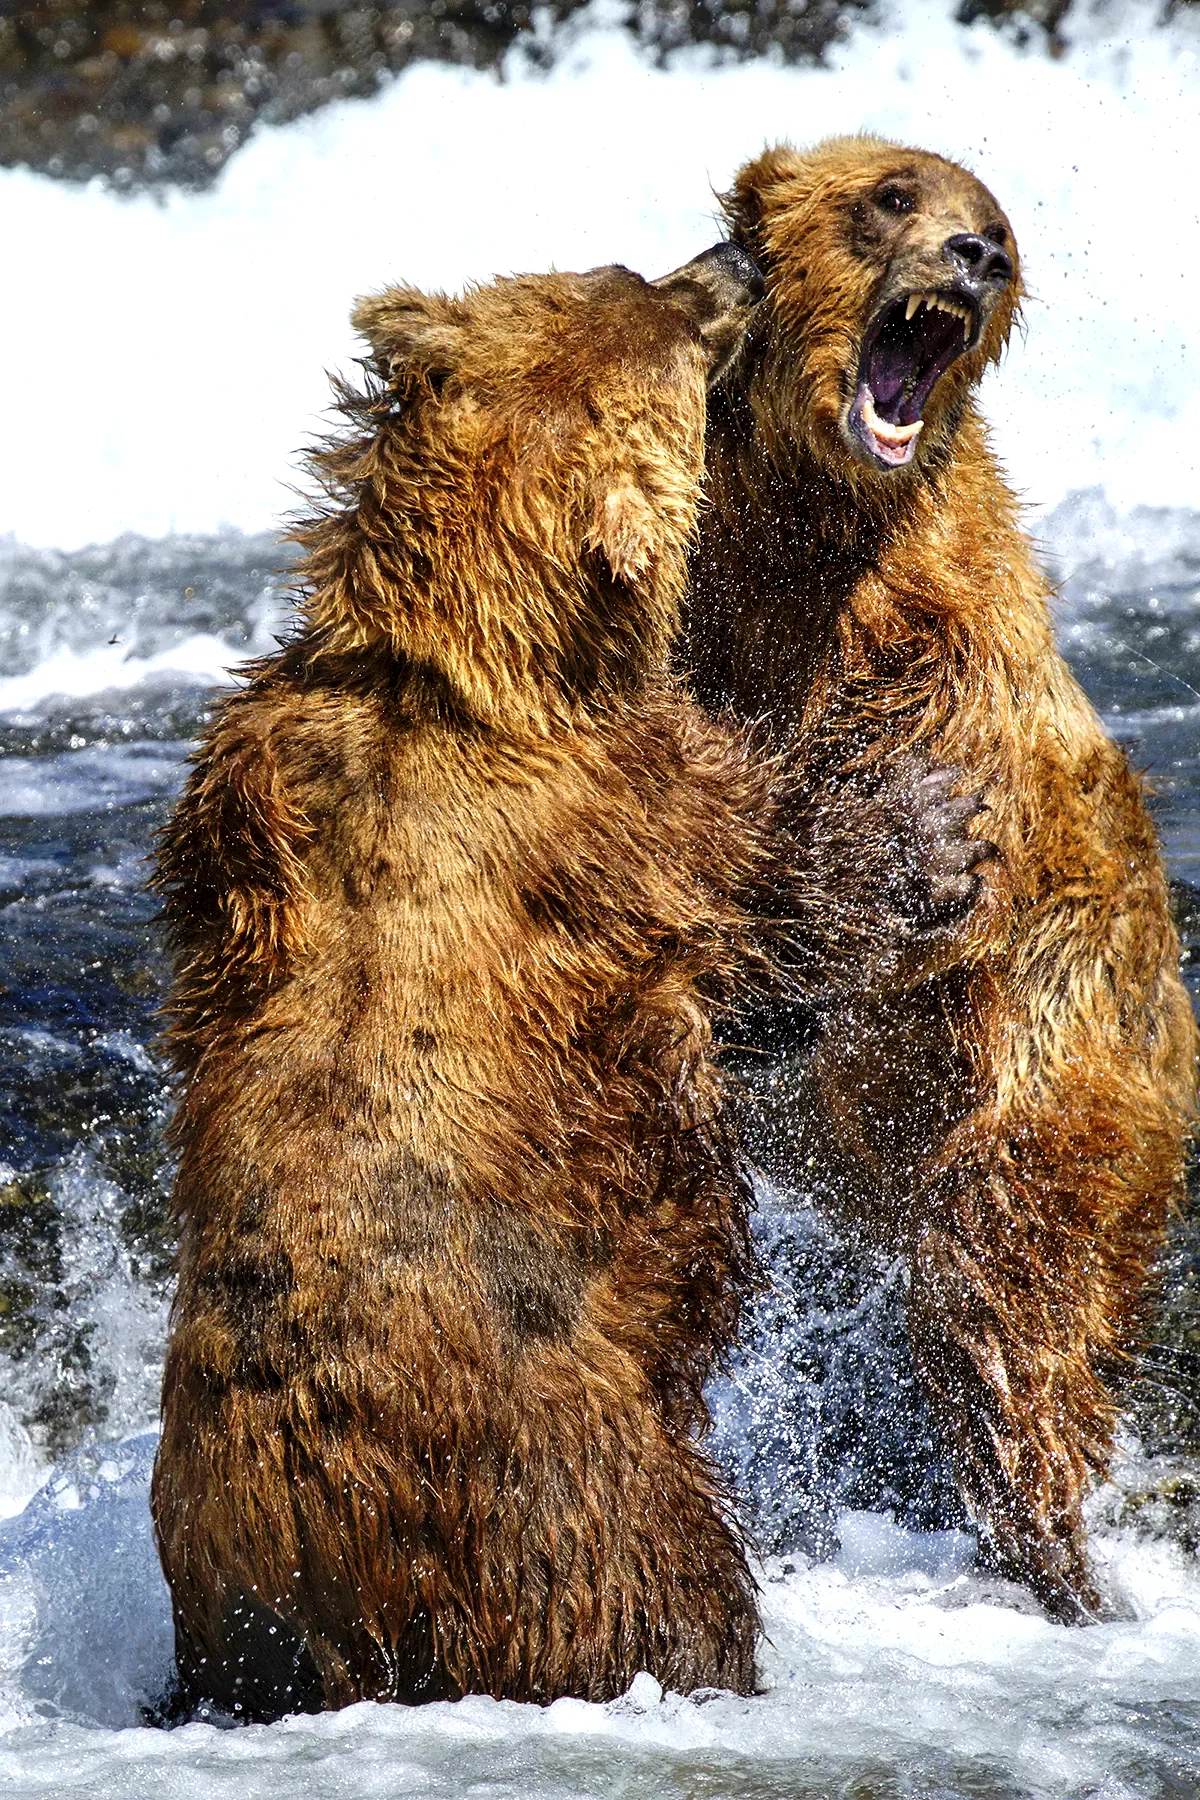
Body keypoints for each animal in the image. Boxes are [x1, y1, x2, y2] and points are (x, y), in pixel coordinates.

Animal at [149, 242, 993, 1721]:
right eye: (676, 324)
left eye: (617, 269)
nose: (734, 261)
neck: (488, 674)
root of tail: (326, 1552)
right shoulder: (625, 834)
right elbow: (761, 934)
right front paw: (922, 828)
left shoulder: (254, 783)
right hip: (576, 1481)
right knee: (662, 1580)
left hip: (226, 1569)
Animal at [683, 135, 1198, 1623]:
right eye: (894, 195)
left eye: (995, 219)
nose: (981, 255)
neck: (800, 530)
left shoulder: (936, 635)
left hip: (1058, 1053)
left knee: (1005, 1279)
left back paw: (1054, 1554)